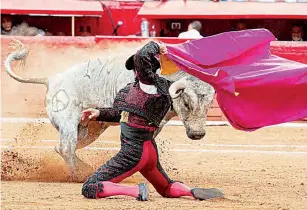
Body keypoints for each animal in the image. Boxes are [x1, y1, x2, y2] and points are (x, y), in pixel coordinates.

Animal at [3, 39, 215, 180]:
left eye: (209, 104)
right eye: (187, 103)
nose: (198, 134)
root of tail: (52, 78)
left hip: (88, 130)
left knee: (64, 147)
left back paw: (86, 169)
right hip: (68, 123)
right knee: (66, 148)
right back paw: (78, 175)